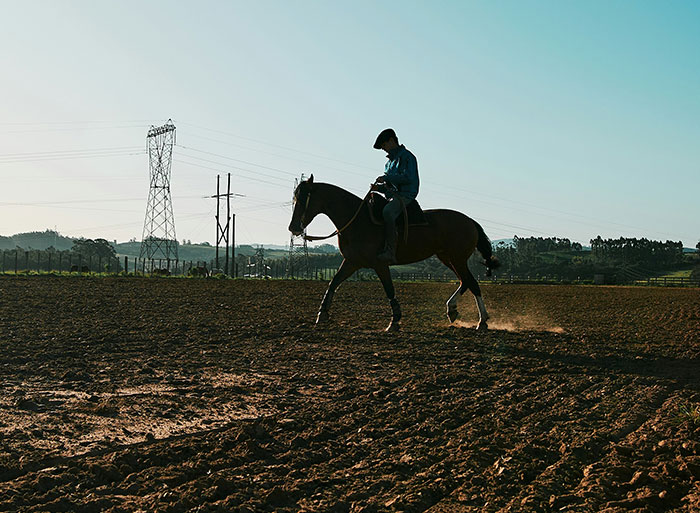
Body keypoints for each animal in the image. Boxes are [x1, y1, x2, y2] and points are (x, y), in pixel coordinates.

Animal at [288, 175, 500, 331]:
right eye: (294, 199)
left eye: (304, 199)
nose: (293, 227)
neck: (359, 220)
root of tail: (470, 221)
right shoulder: (352, 262)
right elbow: (333, 282)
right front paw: (322, 314)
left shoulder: (380, 264)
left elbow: (389, 289)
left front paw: (395, 321)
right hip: (448, 258)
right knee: (465, 281)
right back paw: (453, 310)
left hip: (457, 259)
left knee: (472, 283)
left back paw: (482, 321)